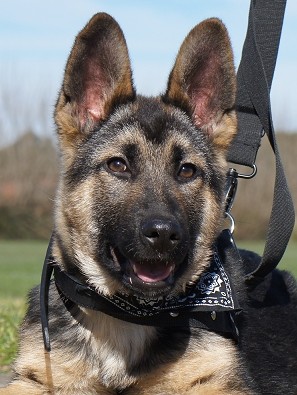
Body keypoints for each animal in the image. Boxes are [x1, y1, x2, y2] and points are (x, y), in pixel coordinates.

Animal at [2, 12, 296, 395]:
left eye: (187, 170)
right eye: (118, 165)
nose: (163, 234)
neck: (127, 314)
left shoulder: (220, 383)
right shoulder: (32, 378)